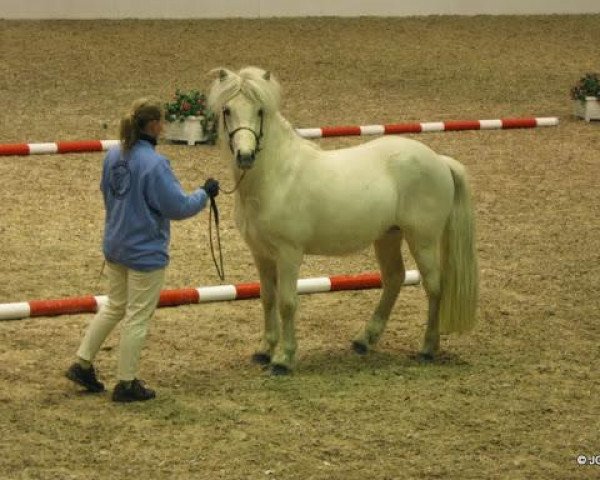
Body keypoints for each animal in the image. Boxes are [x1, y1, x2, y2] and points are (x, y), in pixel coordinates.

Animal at [207, 66, 478, 376]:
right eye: (227, 110)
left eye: (260, 110)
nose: (245, 156)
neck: (276, 176)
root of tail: (439, 160)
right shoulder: (261, 253)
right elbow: (268, 298)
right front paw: (264, 350)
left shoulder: (289, 253)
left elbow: (287, 302)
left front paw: (284, 359)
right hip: (388, 236)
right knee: (394, 279)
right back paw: (364, 340)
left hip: (423, 240)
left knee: (434, 287)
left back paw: (427, 348)